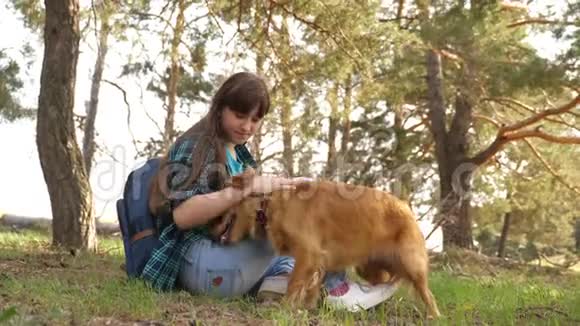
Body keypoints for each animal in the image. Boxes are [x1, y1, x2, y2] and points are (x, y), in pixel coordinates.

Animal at [222, 176, 440, 318]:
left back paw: (434, 316)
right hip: (369, 268)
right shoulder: (319, 260)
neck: (270, 204)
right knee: (384, 281)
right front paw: (307, 308)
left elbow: (294, 283)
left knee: (427, 294)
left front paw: (283, 308)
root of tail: (406, 207)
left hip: (411, 263)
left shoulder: (308, 254)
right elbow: (312, 287)